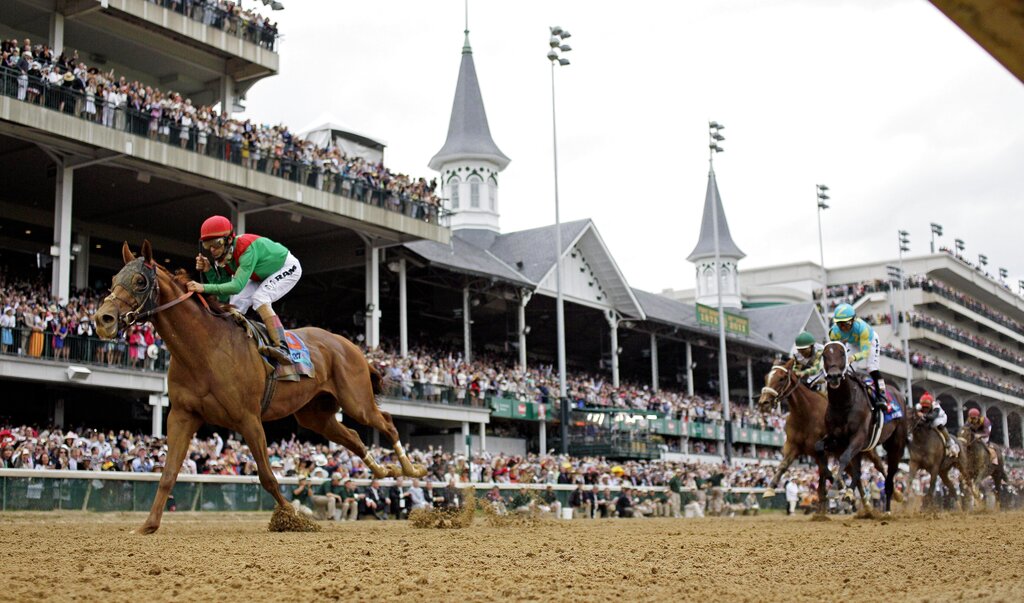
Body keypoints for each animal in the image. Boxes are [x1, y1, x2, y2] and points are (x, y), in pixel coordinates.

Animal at [94, 239, 425, 532]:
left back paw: (411, 468)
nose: (102, 319)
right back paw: (383, 469)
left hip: (356, 400)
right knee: (354, 437)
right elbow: (168, 474)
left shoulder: (248, 418)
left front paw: (294, 518)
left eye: (139, 281)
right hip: (315, 415)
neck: (203, 348)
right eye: (112, 279)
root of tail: (351, 345)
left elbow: (267, 476)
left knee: (386, 423)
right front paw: (148, 526)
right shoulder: (182, 415)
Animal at [757, 358, 884, 511]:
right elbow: (784, 465)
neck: (805, 414)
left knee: (879, 465)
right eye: (766, 378)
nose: (763, 403)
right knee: (855, 474)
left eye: (781, 378)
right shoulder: (795, 446)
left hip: (865, 447)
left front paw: (839, 487)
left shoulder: (820, 450)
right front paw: (770, 488)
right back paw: (861, 502)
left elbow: (825, 472)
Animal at [819, 337, 909, 511]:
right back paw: (851, 496)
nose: (834, 376)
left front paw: (834, 489)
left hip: (895, 444)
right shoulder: (836, 438)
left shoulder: (859, 436)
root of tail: (898, 393)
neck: (843, 403)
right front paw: (837, 485)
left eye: (842, 354)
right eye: (824, 355)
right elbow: (819, 448)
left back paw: (889, 506)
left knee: (890, 473)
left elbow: (845, 458)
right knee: (861, 470)